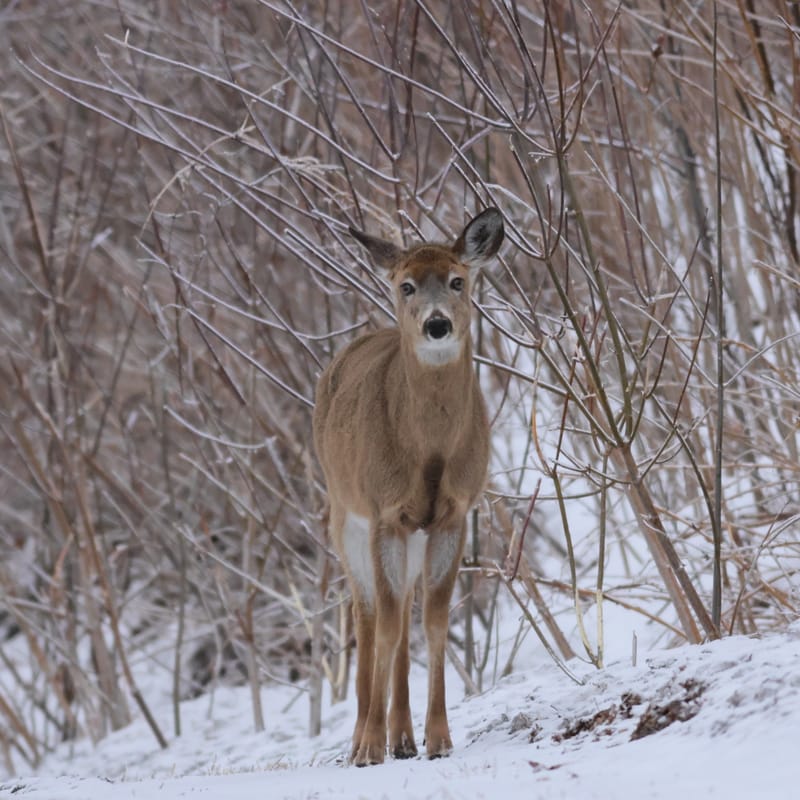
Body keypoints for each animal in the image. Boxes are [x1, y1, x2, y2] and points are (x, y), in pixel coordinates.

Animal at [312, 208, 505, 766]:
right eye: (407, 285)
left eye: (458, 281)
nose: (437, 324)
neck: (429, 453)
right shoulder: (384, 513)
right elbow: (388, 625)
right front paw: (368, 747)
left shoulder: (454, 513)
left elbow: (433, 623)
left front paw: (439, 738)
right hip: (344, 518)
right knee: (369, 615)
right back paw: (364, 736)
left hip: (413, 534)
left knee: (400, 621)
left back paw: (402, 737)